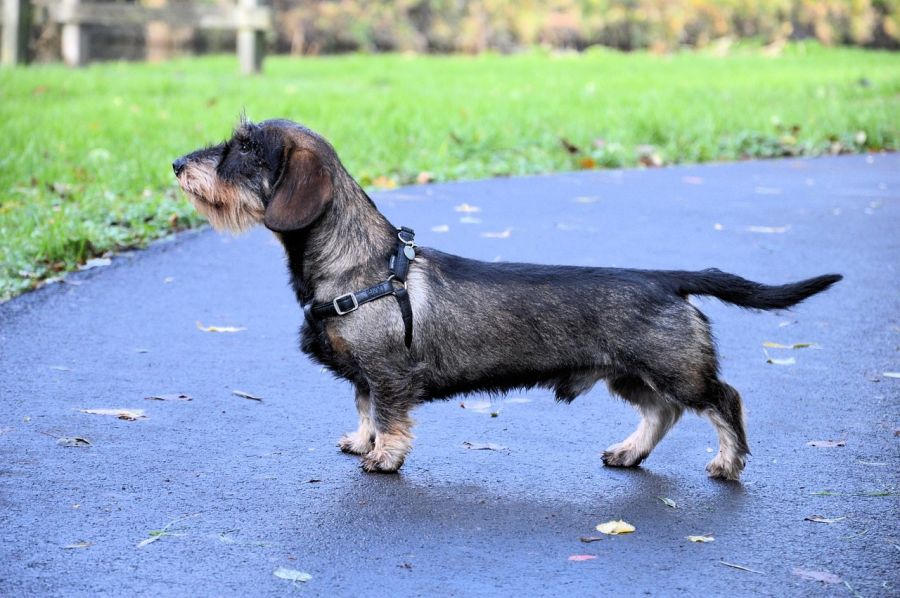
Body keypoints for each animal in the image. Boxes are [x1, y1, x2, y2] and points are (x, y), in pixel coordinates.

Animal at [174, 118, 836, 482]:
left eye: (243, 150)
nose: (177, 162)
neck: (360, 261)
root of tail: (665, 278)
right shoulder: (366, 373)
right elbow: (363, 407)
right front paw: (361, 441)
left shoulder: (389, 372)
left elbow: (389, 415)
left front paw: (383, 457)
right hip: (630, 374)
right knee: (661, 413)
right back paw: (629, 452)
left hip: (676, 369)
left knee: (723, 400)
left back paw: (728, 463)